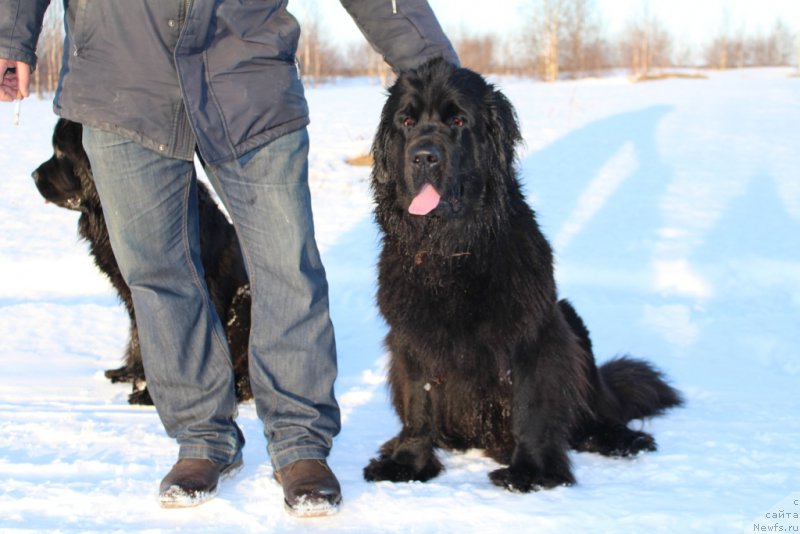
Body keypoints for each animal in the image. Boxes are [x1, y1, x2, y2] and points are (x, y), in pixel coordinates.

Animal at [32, 119, 252, 406]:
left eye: (59, 152)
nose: (33, 175)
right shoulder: (134, 292)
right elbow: (139, 335)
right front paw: (132, 373)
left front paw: (152, 394)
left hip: (243, 300)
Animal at [362, 59, 680, 494]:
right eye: (407, 122)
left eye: (458, 120)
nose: (424, 156)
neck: (452, 250)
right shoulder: (409, 335)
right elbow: (418, 400)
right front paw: (407, 461)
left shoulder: (532, 331)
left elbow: (532, 403)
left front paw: (532, 472)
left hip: (570, 321)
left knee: (594, 412)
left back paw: (621, 438)